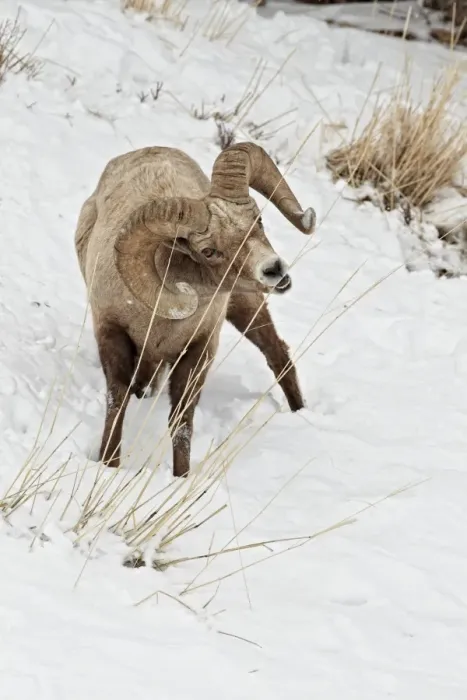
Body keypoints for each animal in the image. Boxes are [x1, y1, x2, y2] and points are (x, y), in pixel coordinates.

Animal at [74, 142, 316, 477]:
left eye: (257, 220)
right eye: (209, 251)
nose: (273, 270)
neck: (162, 320)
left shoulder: (199, 350)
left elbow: (182, 421)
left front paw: (181, 477)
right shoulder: (113, 335)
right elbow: (117, 405)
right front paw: (110, 465)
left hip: (245, 304)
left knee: (277, 354)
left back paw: (300, 414)